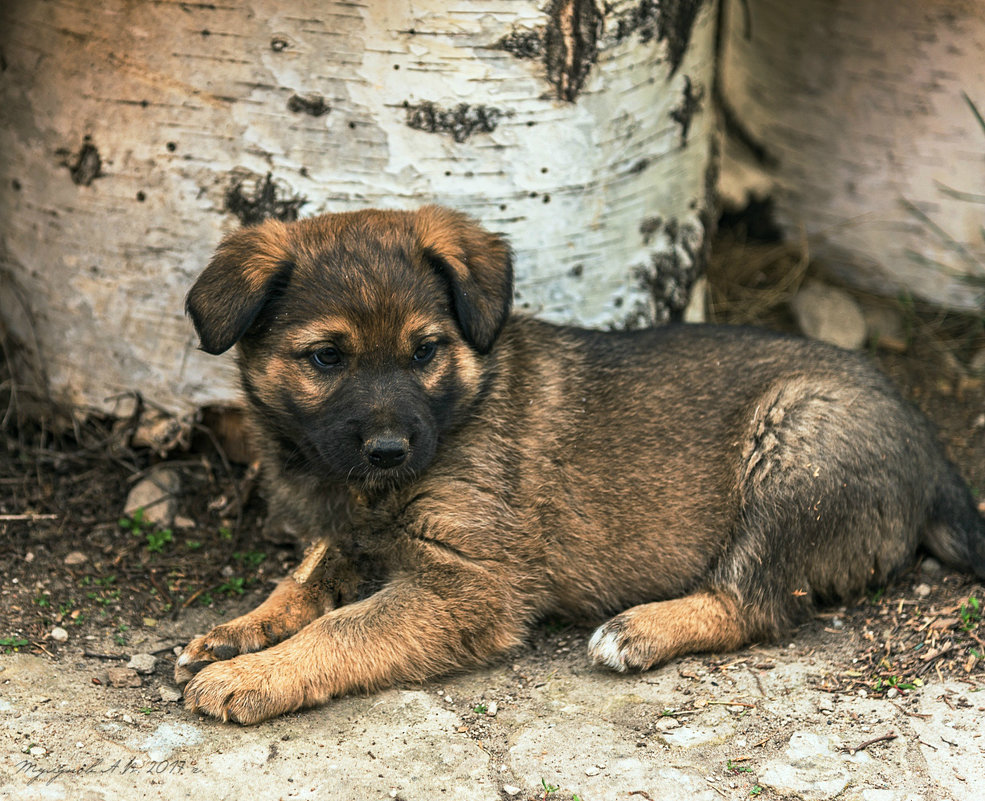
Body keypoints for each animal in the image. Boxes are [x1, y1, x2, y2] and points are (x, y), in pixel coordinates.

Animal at [177, 206, 984, 724]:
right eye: (325, 358)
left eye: (425, 351)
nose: (388, 450)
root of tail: (930, 451)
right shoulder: (348, 534)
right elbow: (306, 578)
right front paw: (242, 629)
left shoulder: (469, 585)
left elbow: (343, 629)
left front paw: (254, 675)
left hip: (794, 446)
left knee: (756, 603)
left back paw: (640, 630)